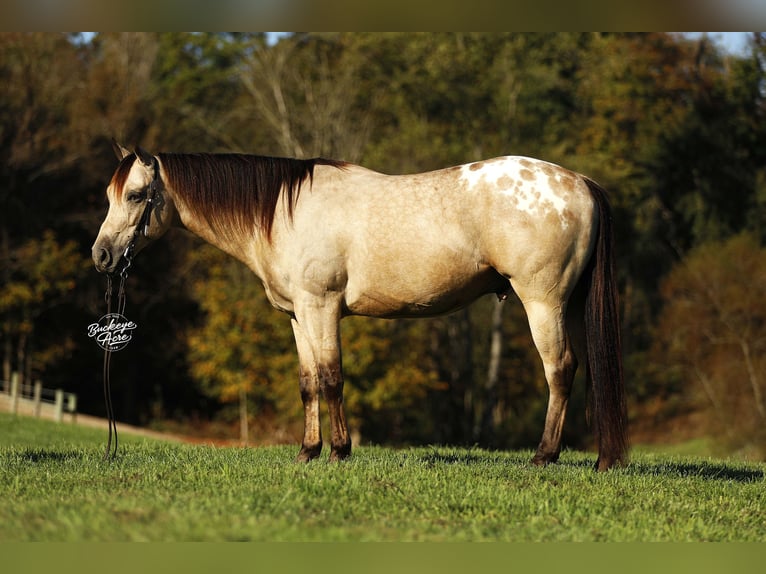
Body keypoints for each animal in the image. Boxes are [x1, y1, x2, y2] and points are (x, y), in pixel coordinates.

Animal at [92, 142, 628, 471]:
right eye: (109, 194)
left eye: (136, 195)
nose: (101, 256)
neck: (284, 212)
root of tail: (579, 181)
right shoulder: (298, 316)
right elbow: (308, 383)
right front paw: (307, 452)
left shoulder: (322, 308)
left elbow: (332, 378)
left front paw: (339, 452)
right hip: (569, 306)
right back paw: (602, 459)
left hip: (542, 301)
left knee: (560, 369)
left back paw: (544, 456)